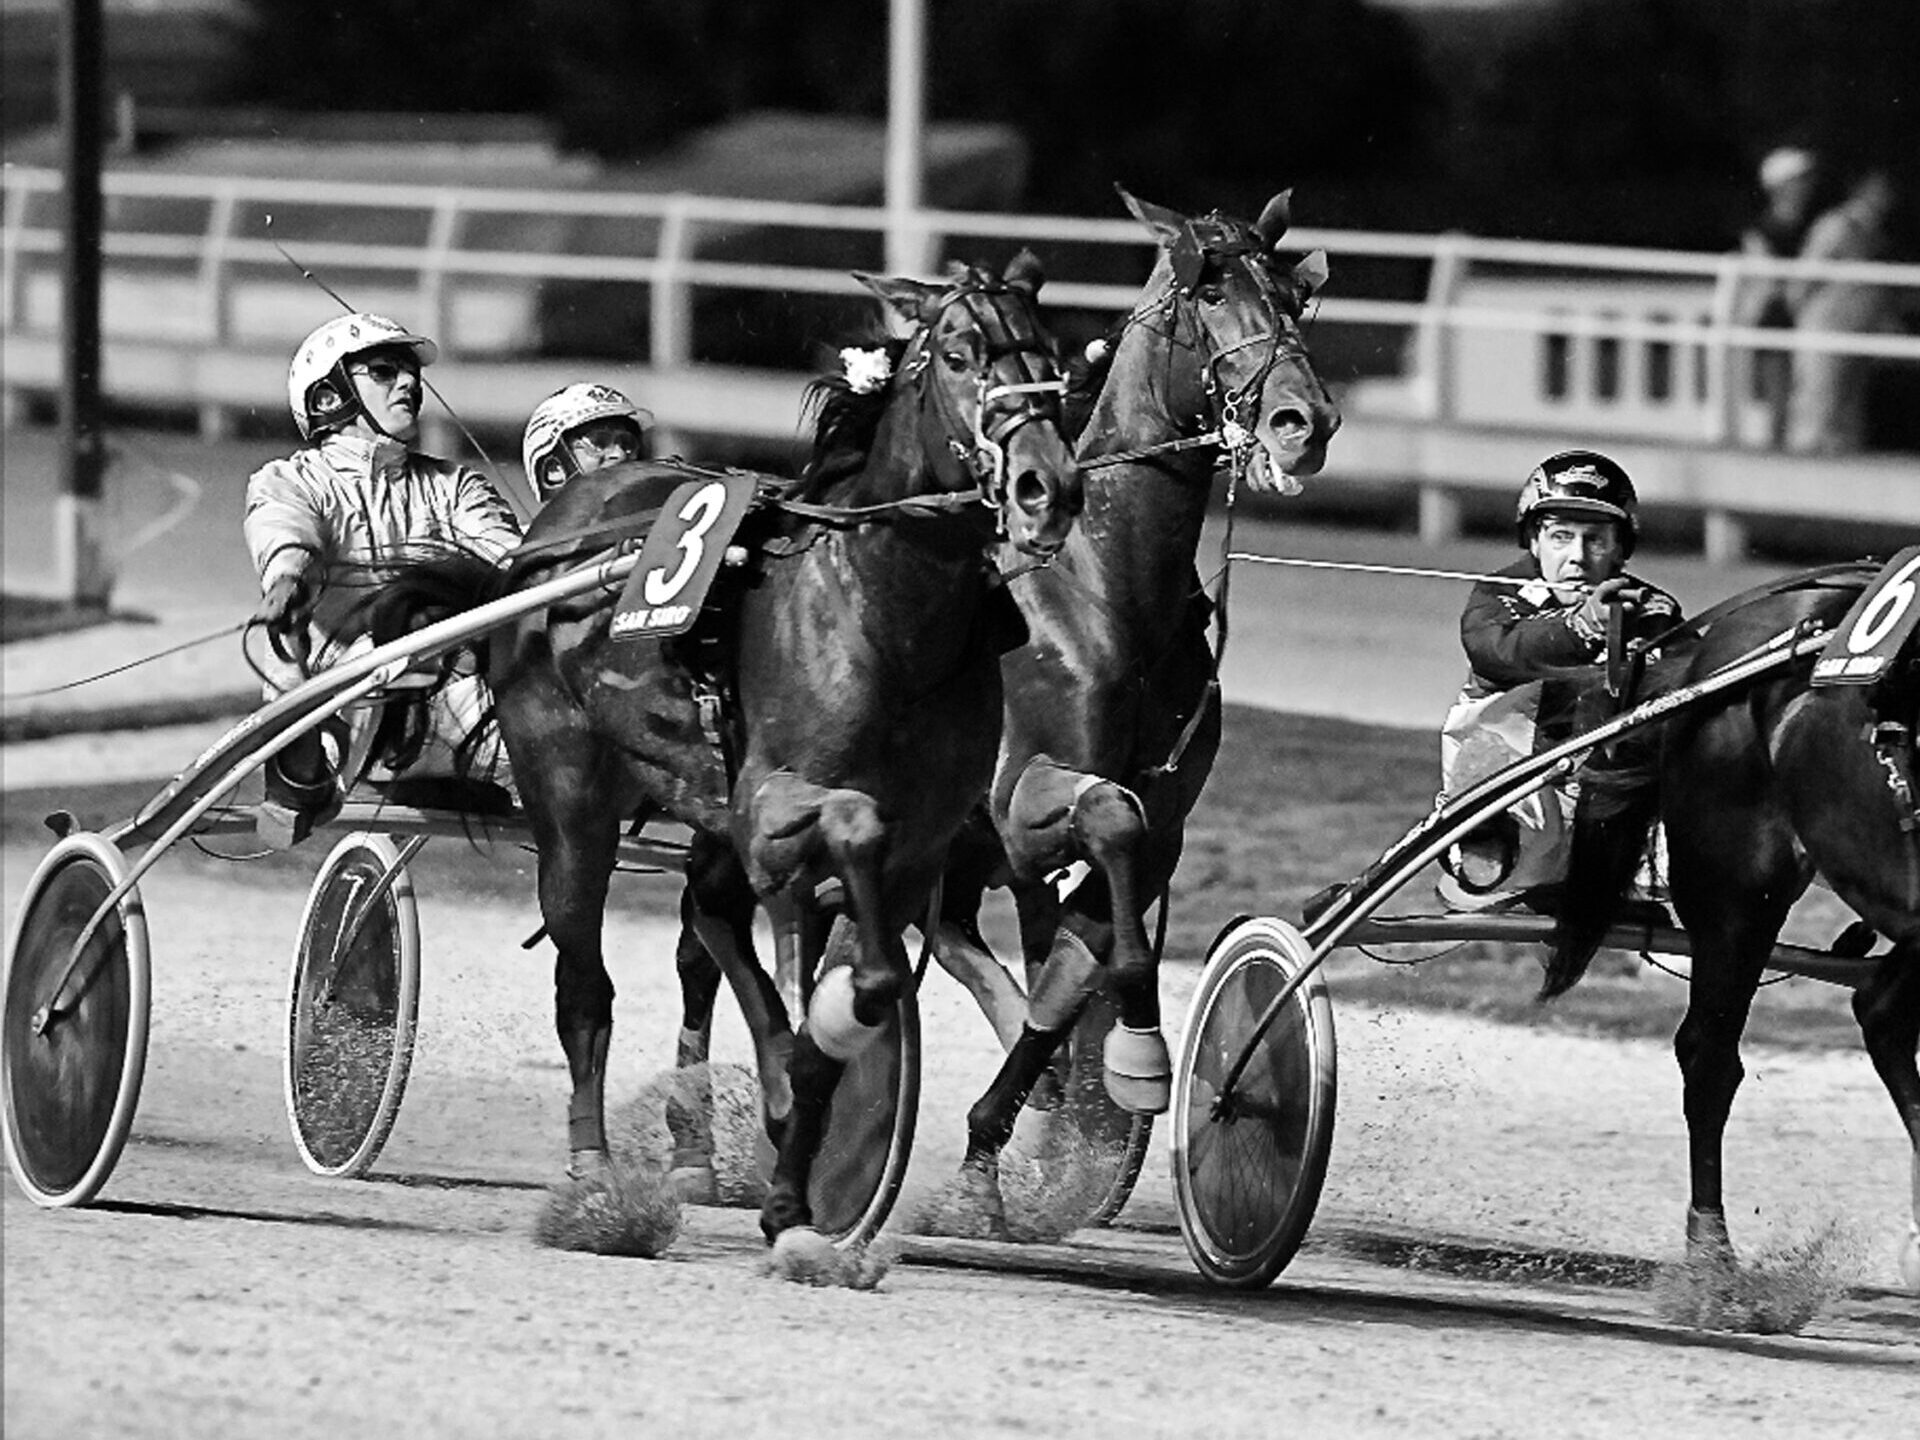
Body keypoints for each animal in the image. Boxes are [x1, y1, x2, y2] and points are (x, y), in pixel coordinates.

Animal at [929, 192, 1336, 1228]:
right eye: (1208, 291)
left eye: (1295, 297)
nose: (1302, 421)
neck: (1105, 587)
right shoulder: (1022, 799)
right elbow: (1108, 836)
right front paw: (1126, 1061)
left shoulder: (1165, 824)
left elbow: (1079, 967)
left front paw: (1026, 1138)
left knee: (959, 937)